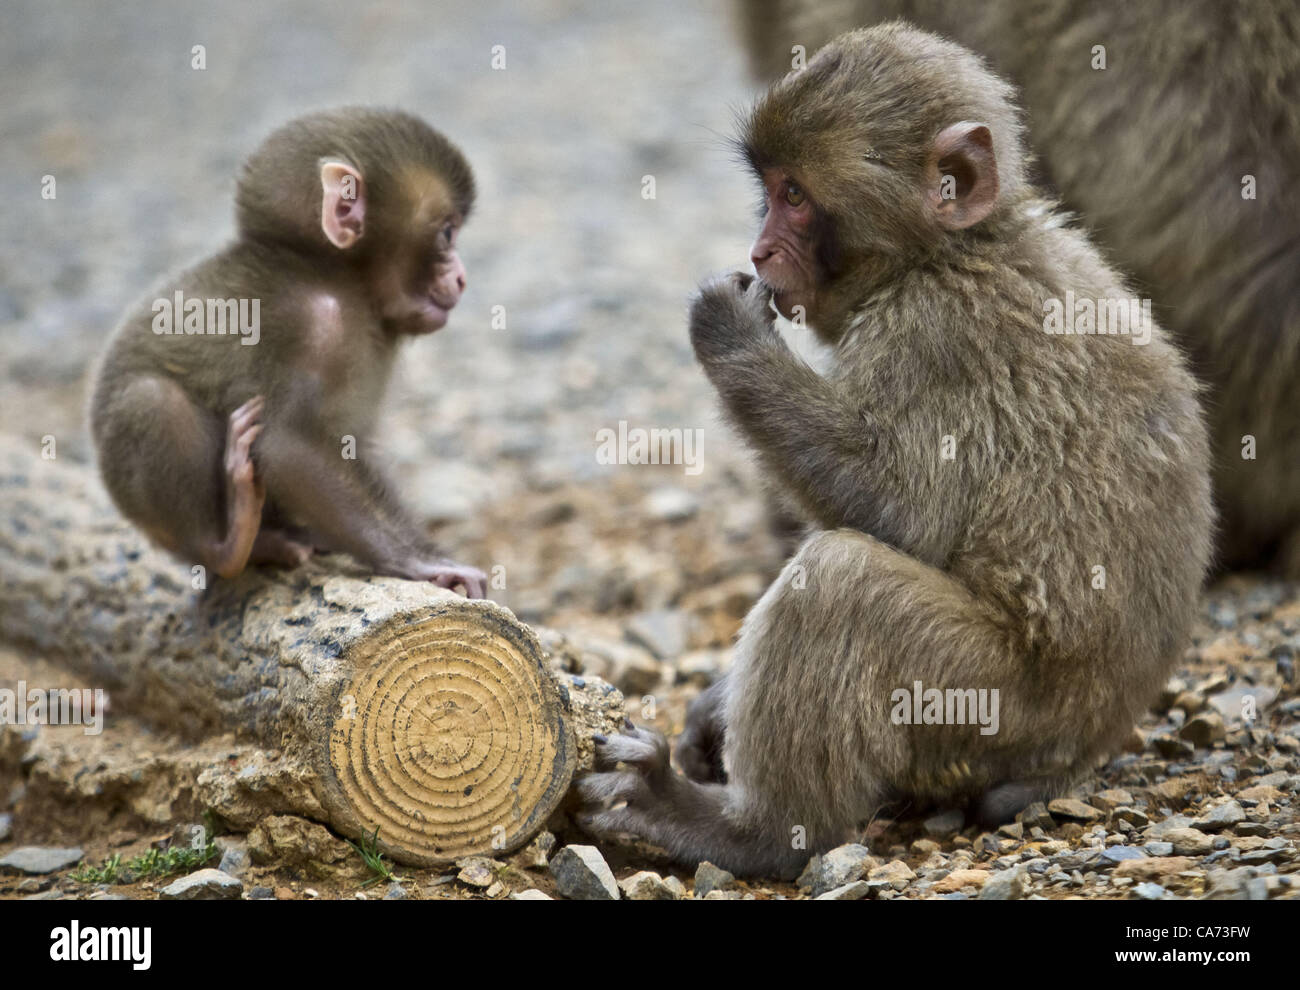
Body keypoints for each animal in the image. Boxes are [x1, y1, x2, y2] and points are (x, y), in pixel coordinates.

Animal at [89, 108, 488, 597]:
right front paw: (423, 562)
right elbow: (288, 446)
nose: (463, 277)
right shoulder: (313, 326)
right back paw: (231, 541)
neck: (341, 278)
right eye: (447, 232)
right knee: (152, 401)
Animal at [578, 25, 1214, 878]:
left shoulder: (937, 335)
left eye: (795, 196)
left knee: (843, 580)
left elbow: (900, 515)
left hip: (991, 708)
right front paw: (714, 704)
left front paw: (729, 333)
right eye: (769, 188)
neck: (950, 250)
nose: (762, 248)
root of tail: (1081, 751)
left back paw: (752, 832)